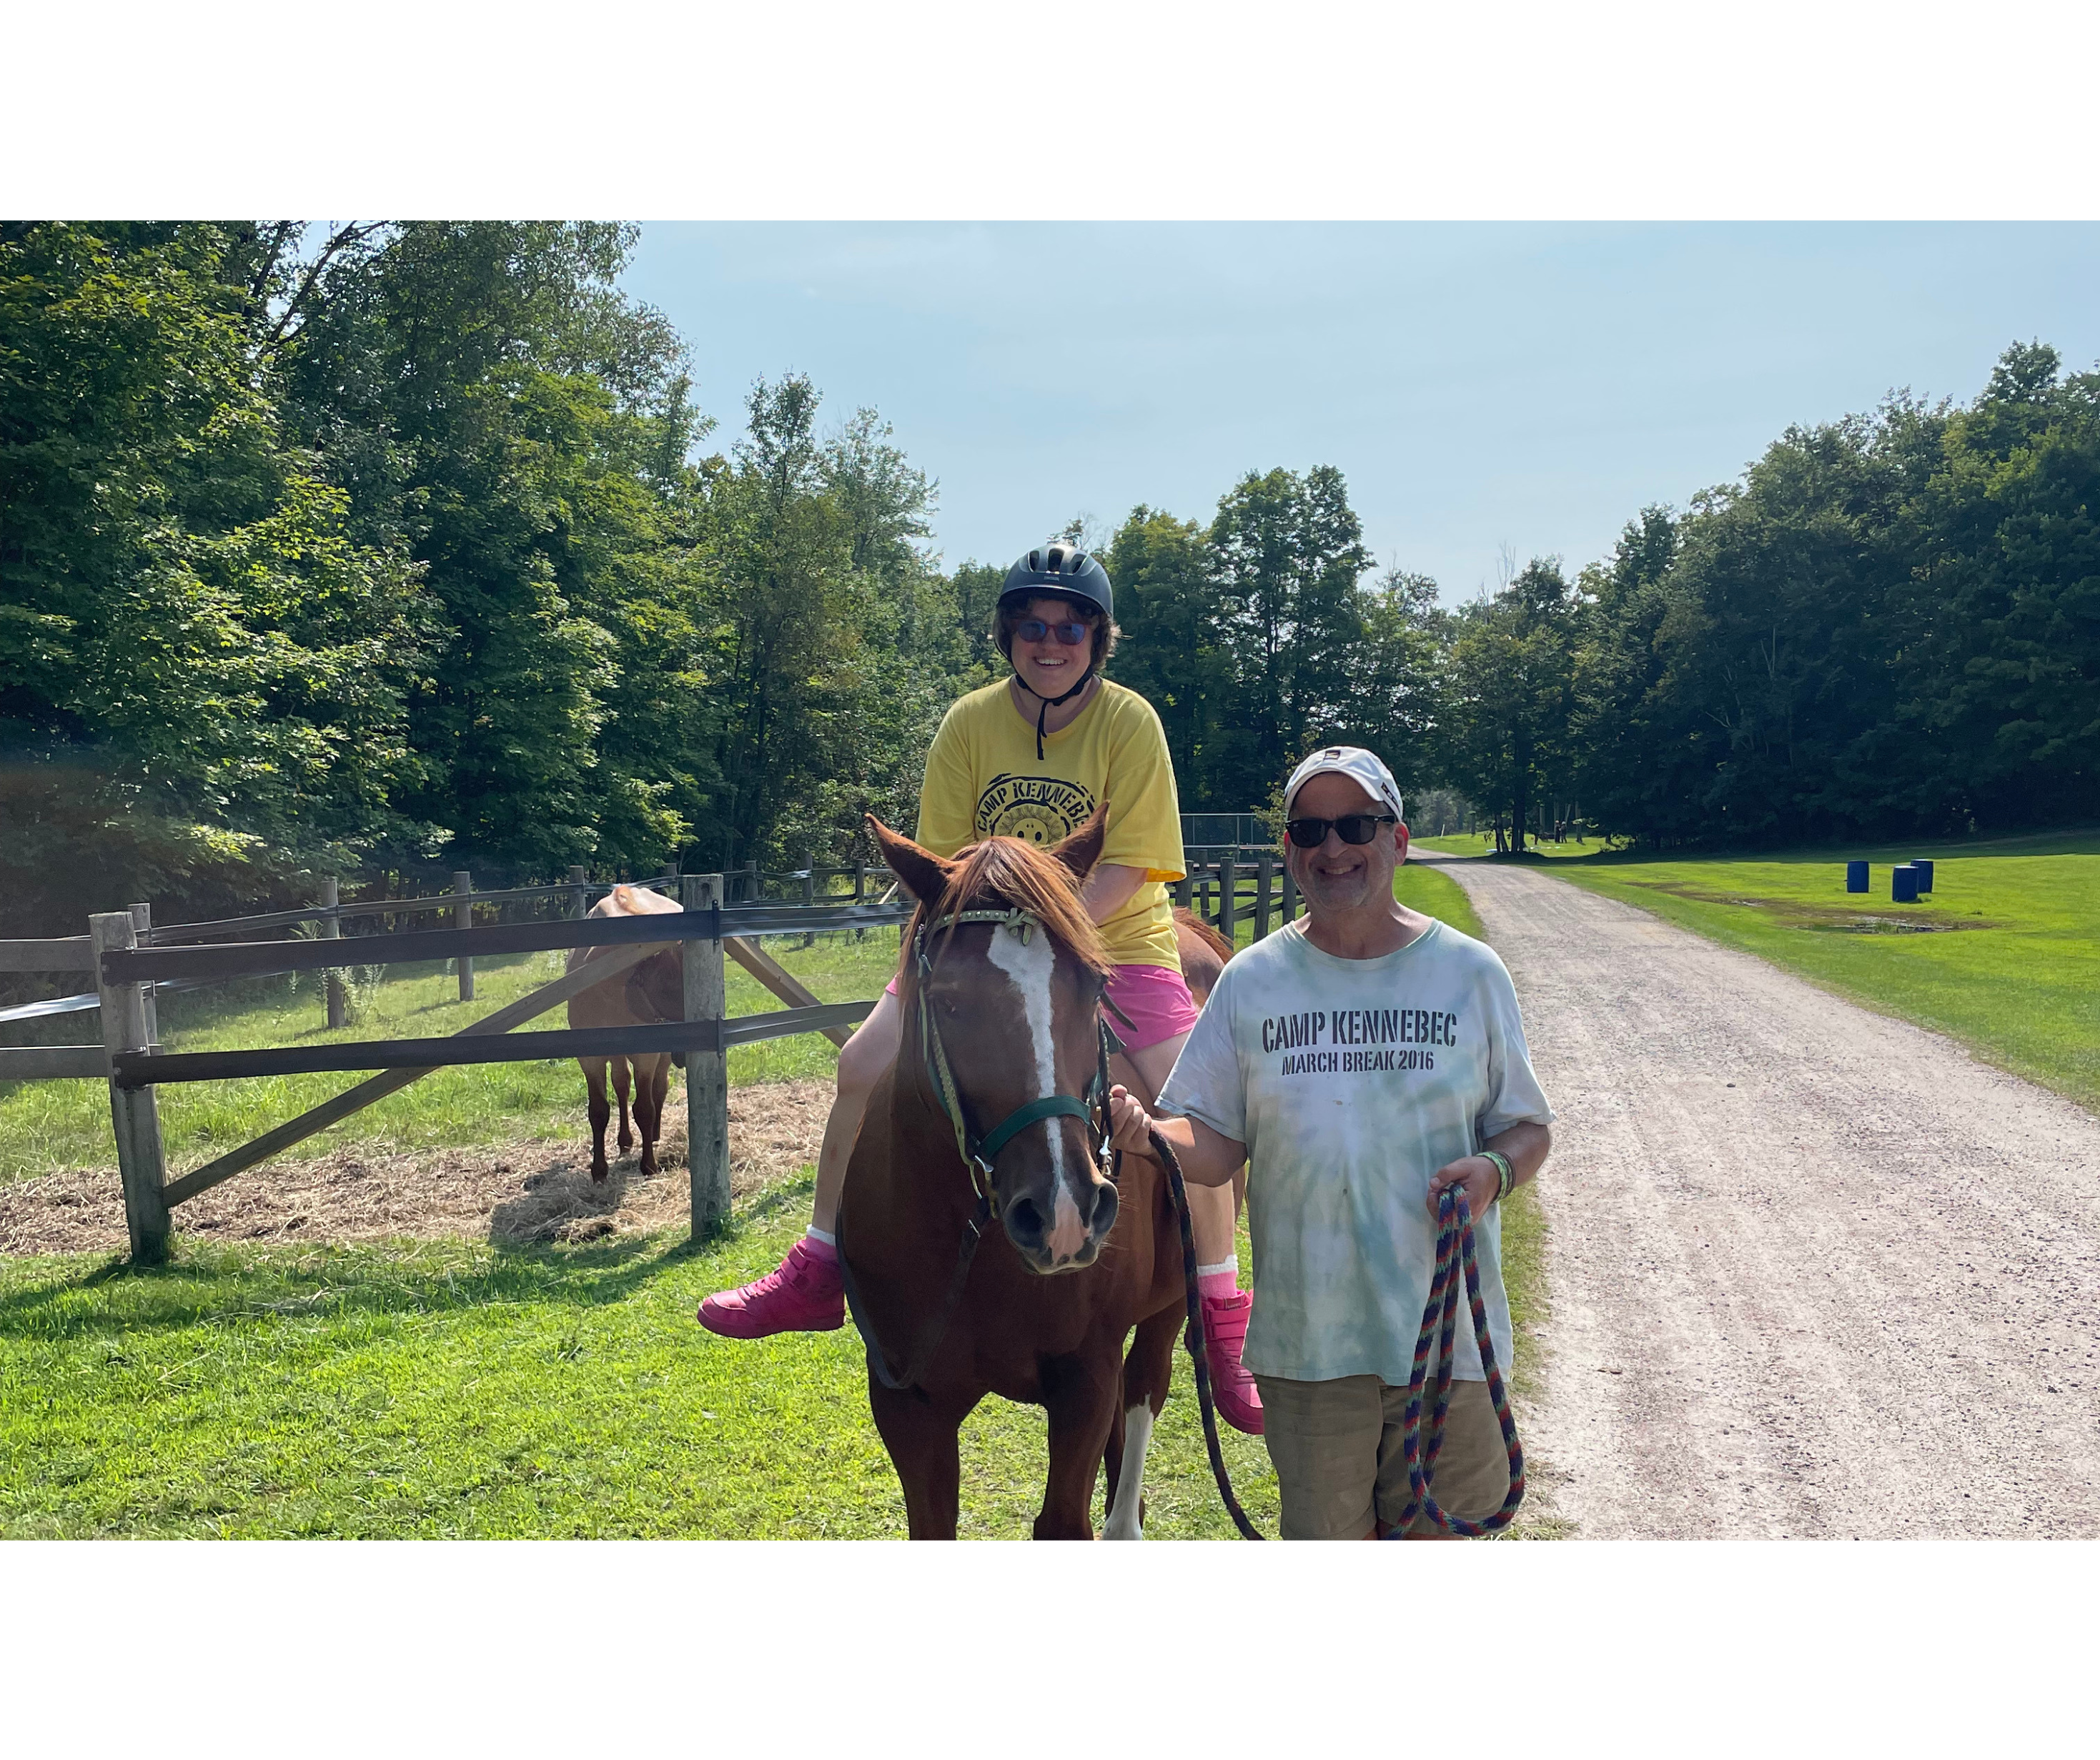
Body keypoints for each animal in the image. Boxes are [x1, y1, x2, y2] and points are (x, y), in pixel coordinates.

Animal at [567, 882, 680, 1184]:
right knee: (621, 1085)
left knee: (658, 1089)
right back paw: (626, 1139)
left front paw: (649, 1164)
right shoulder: (590, 1057)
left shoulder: (646, 1054)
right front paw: (598, 1169)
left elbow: (645, 1107)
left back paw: (653, 1135)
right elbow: (598, 1111)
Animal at [836, 815, 1201, 1546]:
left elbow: (1065, 1515)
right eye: (947, 1002)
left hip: (1168, 1306)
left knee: (1146, 1387)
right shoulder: (905, 1403)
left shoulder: (1084, 1381)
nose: (1063, 1211)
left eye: (1096, 986)